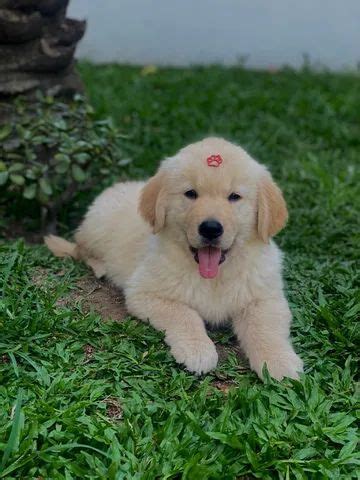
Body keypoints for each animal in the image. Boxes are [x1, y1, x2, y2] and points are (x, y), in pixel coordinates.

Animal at [45, 137, 304, 380]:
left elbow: (265, 327)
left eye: (234, 197)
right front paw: (198, 351)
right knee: (81, 248)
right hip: (96, 227)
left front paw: (278, 361)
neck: (214, 276)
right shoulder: (145, 293)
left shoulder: (265, 297)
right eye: (191, 194)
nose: (211, 229)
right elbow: (185, 314)